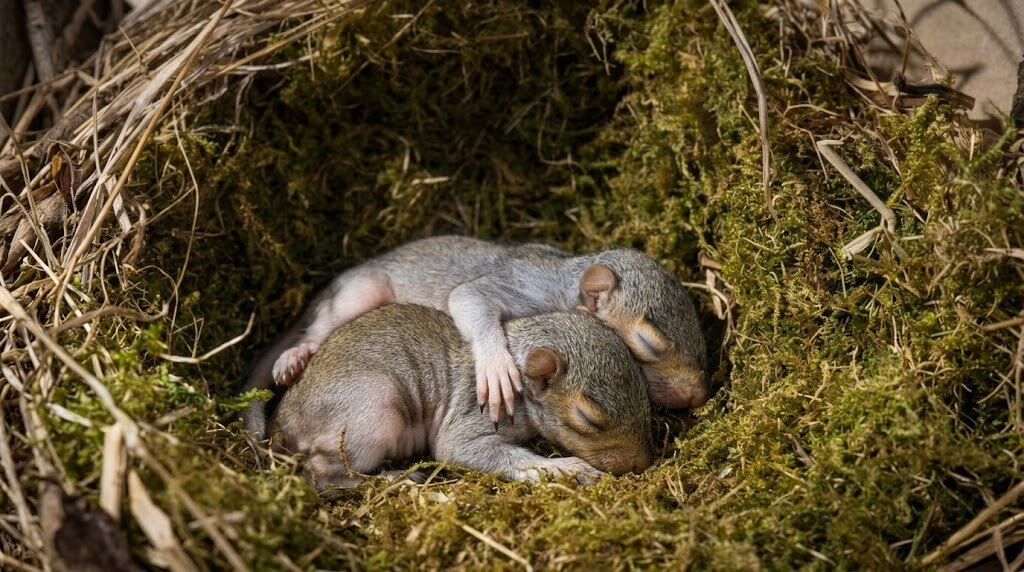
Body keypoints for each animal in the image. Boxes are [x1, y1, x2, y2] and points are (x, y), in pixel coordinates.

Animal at [244, 236, 707, 437]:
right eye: (646, 344)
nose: (698, 395)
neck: (565, 279)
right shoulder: (526, 289)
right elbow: (469, 297)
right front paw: (497, 368)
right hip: (361, 291)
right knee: (320, 327)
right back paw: (296, 355)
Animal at [267, 304, 655, 488]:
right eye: (588, 418)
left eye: (643, 393)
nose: (642, 463)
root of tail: (285, 417)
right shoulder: (476, 414)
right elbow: (459, 449)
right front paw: (565, 469)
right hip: (374, 412)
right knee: (321, 477)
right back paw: (393, 479)